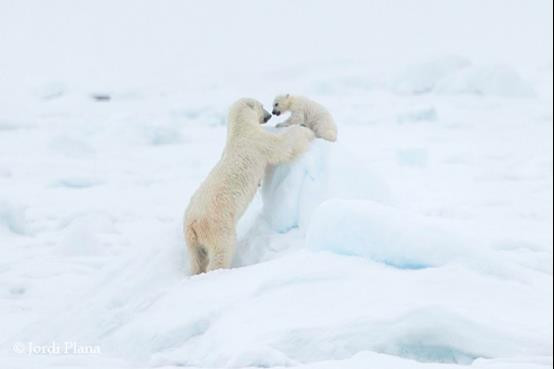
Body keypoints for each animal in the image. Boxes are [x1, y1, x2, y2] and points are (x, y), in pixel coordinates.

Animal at [183, 98, 312, 274]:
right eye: (262, 106)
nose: (269, 115)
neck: (240, 131)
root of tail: (194, 224)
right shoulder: (258, 142)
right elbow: (281, 147)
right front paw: (304, 130)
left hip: (191, 241)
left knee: (196, 258)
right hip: (218, 227)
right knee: (222, 251)